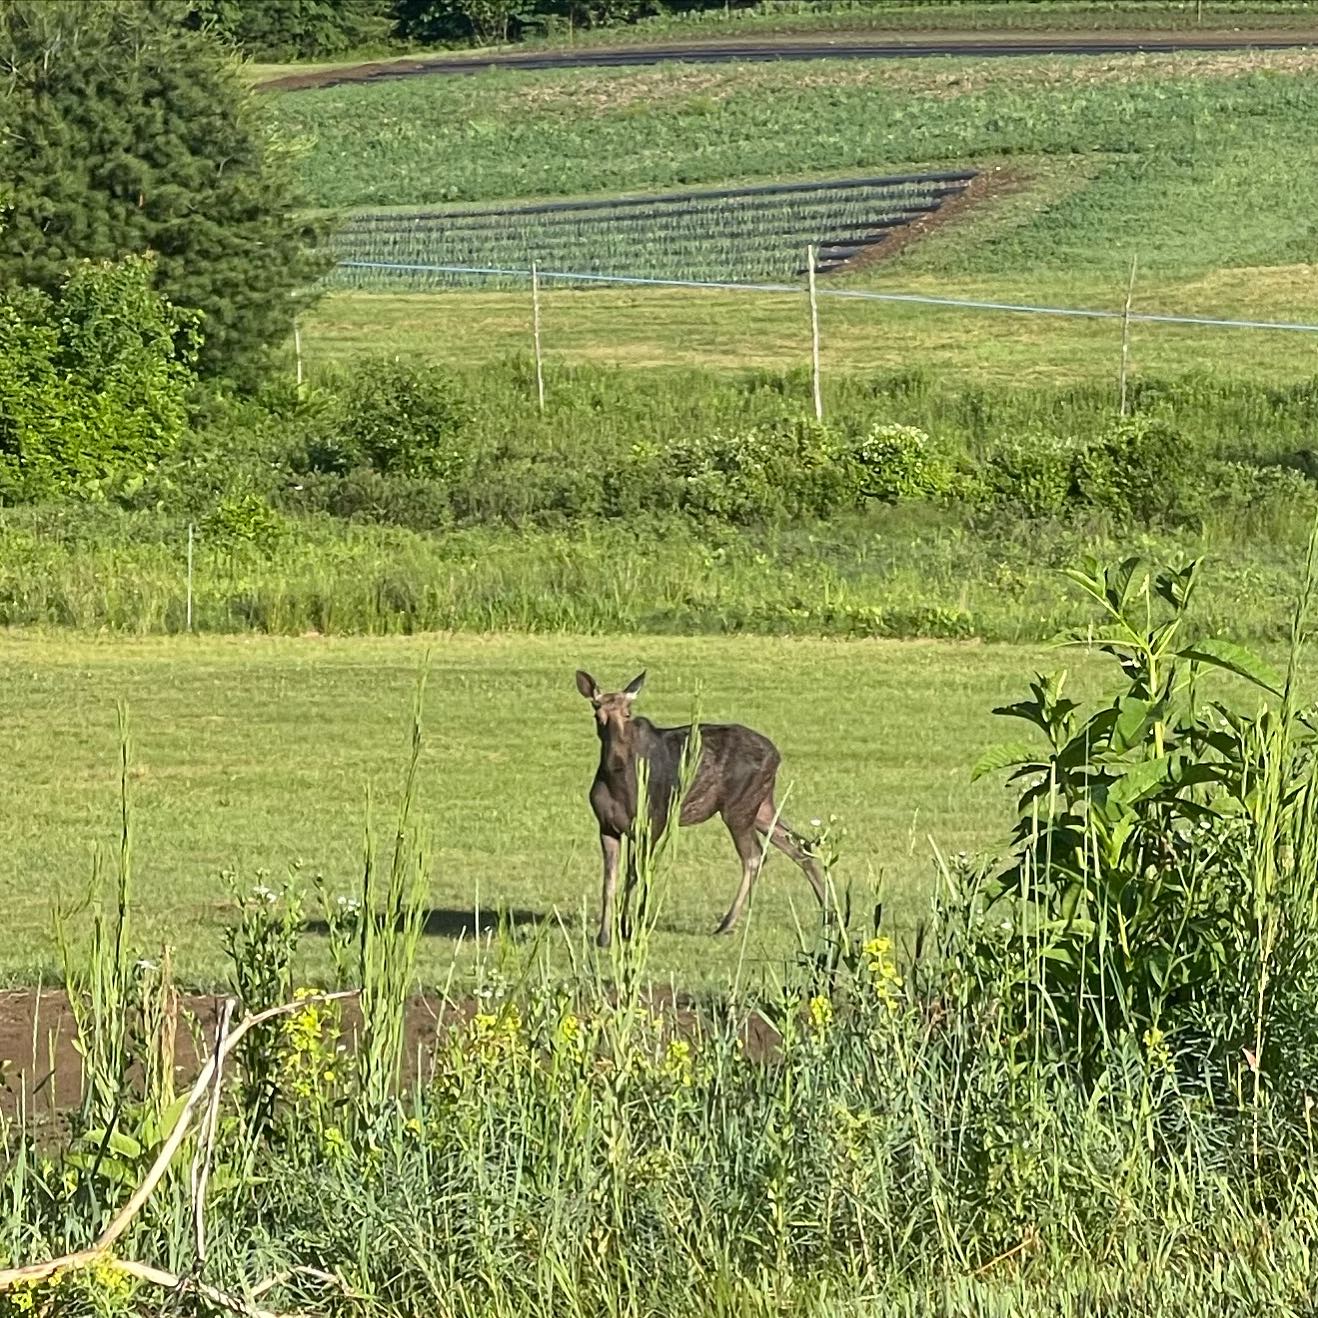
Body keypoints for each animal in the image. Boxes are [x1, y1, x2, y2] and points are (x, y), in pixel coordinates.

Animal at [575, 669, 826, 948]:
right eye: (597, 715)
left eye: (628, 713)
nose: (617, 761)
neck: (617, 783)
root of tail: (777, 755)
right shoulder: (607, 826)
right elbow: (609, 883)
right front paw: (605, 936)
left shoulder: (653, 822)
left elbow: (636, 875)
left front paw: (627, 928)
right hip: (761, 806)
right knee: (800, 846)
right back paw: (828, 910)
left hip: (738, 807)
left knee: (755, 855)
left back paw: (726, 924)